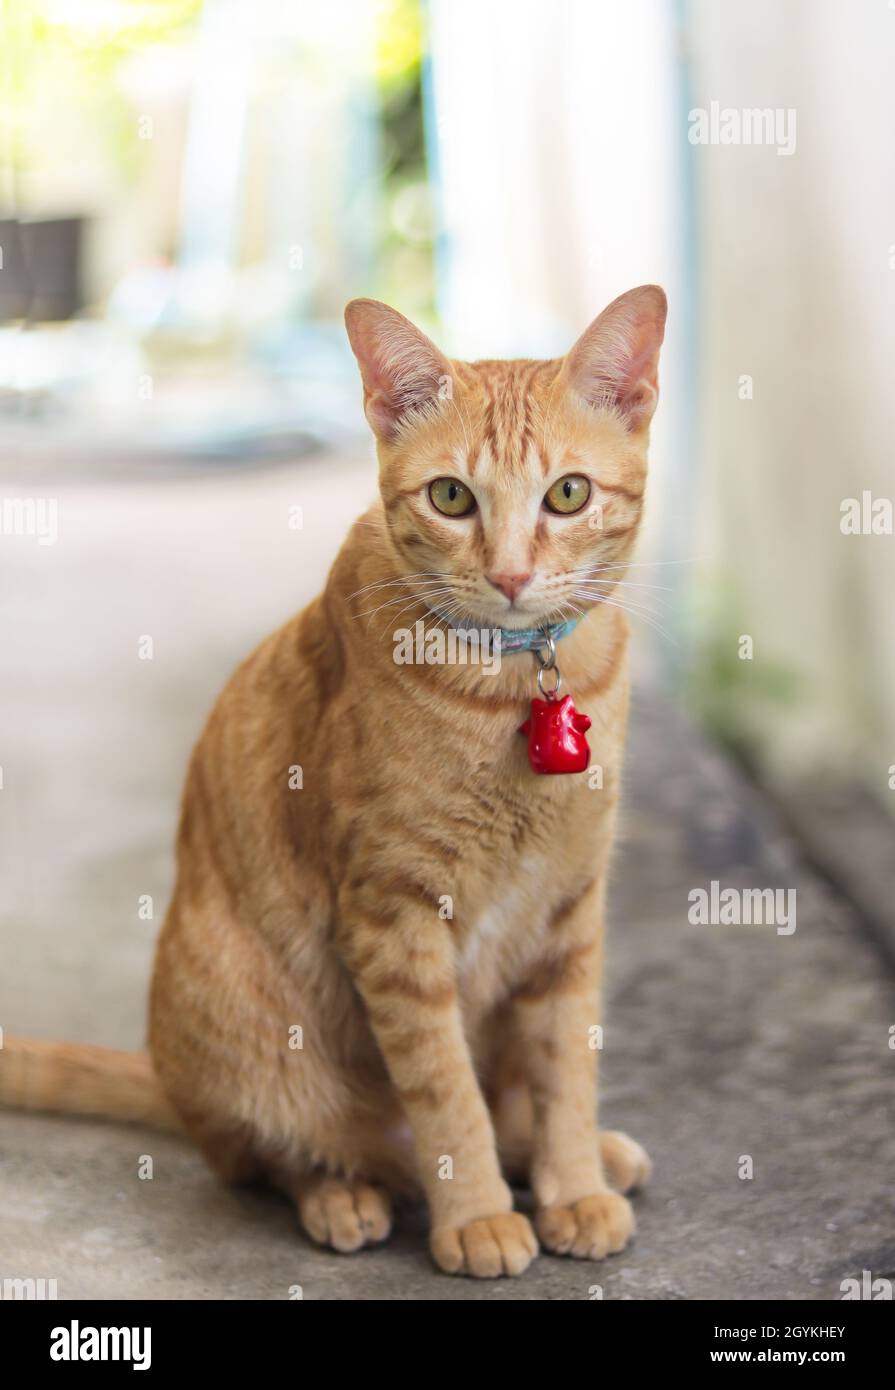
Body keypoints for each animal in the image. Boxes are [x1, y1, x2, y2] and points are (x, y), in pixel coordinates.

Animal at [0, 284, 664, 1278]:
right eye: (452, 497)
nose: (510, 575)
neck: (515, 683)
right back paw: (343, 1194)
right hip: (238, 1018)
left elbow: (564, 1071)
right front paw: (475, 1213)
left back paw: (591, 1160)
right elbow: (446, 1093)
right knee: (275, 1155)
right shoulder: (392, 915)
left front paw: (572, 1184)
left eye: (569, 494)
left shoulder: (568, 912)